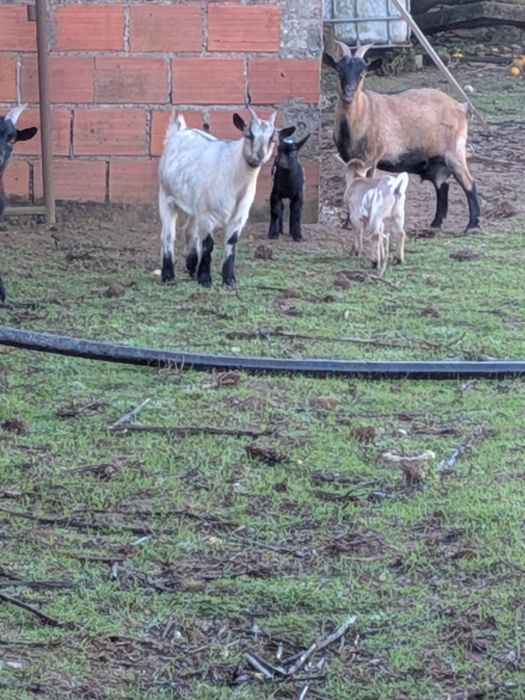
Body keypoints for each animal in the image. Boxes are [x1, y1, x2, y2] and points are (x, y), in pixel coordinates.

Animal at [158, 106, 294, 287]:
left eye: (272, 139)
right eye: (249, 134)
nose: (259, 155)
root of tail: (178, 132)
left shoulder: (238, 216)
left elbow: (231, 243)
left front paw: (229, 279)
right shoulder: (207, 215)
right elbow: (208, 245)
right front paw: (205, 278)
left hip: (195, 205)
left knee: (189, 231)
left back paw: (191, 268)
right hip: (166, 196)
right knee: (168, 235)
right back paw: (168, 275)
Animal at [323, 42, 480, 232]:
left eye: (362, 73)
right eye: (339, 71)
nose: (348, 93)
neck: (364, 111)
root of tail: (461, 107)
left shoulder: (371, 158)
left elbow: (365, 184)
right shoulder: (349, 159)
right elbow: (352, 184)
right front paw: (348, 222)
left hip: (455, 152)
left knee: (469, 183)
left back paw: (471, 225)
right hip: (438, 161)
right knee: (442, 186)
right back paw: (435, 224)